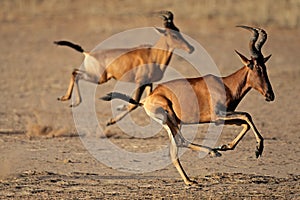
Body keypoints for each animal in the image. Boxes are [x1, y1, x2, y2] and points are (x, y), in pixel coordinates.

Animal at [54, 10, 193, 125]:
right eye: (173, 34)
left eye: (178, 30)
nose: (191, 48)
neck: (152, 54)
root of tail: (88, 53)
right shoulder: (140, 82)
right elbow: (134, 104)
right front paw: (111, 121)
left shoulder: (149, 83)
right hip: (99, 78)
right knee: (75, 73)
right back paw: (69, 99)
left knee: (75, 73)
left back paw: (69, 100)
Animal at [102, 25, 276, 185]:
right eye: (257, 68)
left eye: (265, 67)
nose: (270, 95)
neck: (225, 84)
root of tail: (148, 99)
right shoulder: (218, 114)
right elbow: (247, 116)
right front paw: (257, 150)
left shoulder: (221, 119)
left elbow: (245, 122)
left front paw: (226, 146)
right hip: (168, 118)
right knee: (179, 142)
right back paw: (208, 158)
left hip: (174, 122)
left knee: (177, 147)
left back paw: (192, 177)